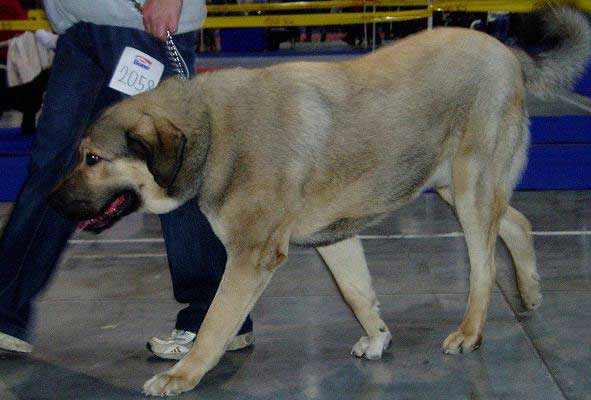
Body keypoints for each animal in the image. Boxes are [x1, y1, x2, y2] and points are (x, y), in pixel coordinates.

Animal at [49, 7, 591, 396]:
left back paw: (471, 330)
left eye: (93, 158)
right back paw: (531, 292)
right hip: (454, 187)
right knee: (516, 224)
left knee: (483, 265)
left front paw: (184, 374)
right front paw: (377, 336)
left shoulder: (250, 257)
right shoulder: (335, 237)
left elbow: (215, 321)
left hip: (469, 185)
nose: (51, 199)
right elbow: (356, 292)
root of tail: (506, 50)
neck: (212, 130)